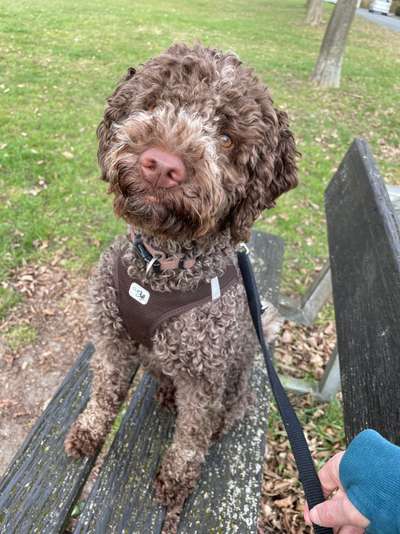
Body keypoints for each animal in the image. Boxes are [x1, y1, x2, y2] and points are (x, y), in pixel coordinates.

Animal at [65, 44, 296, 532]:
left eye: (226, 138)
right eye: (156, 103)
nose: (162, 164)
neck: (161, 267)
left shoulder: (204, 377)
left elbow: (191, 436)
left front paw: (175, 481)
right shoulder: (112, 339)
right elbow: (104, 390)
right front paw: (90, 430)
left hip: (235, 380)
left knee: (227, 412)